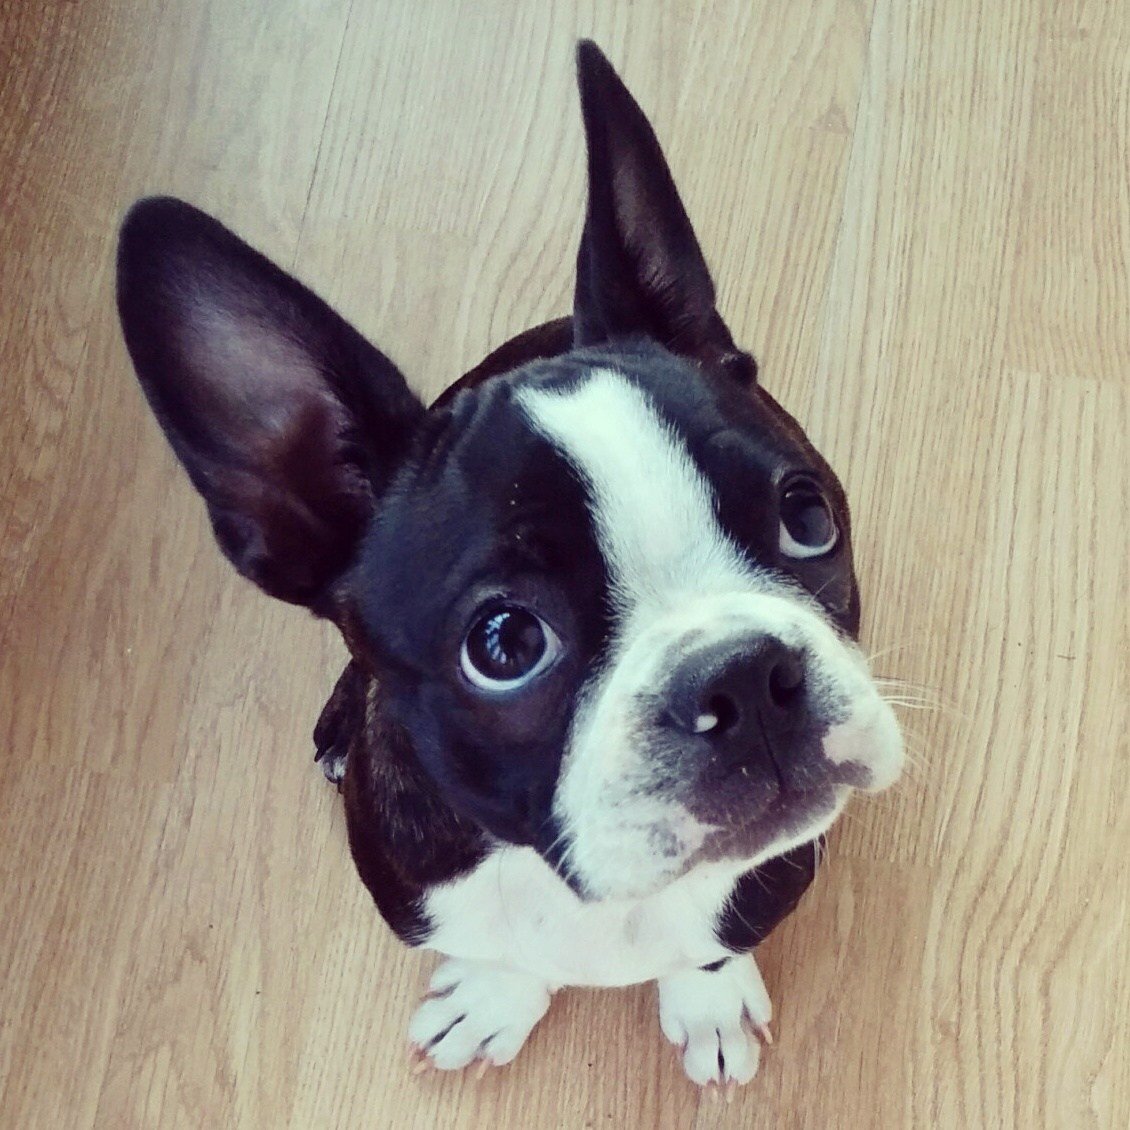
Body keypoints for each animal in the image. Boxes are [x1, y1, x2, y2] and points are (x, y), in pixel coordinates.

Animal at [119, 39, 904, 1089]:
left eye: (806, 516)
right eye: (504, 645)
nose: (743, 676)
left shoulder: (771, 876)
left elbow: (711, 943)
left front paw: (706, 1001)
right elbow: (501, 955)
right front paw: (494, 998)